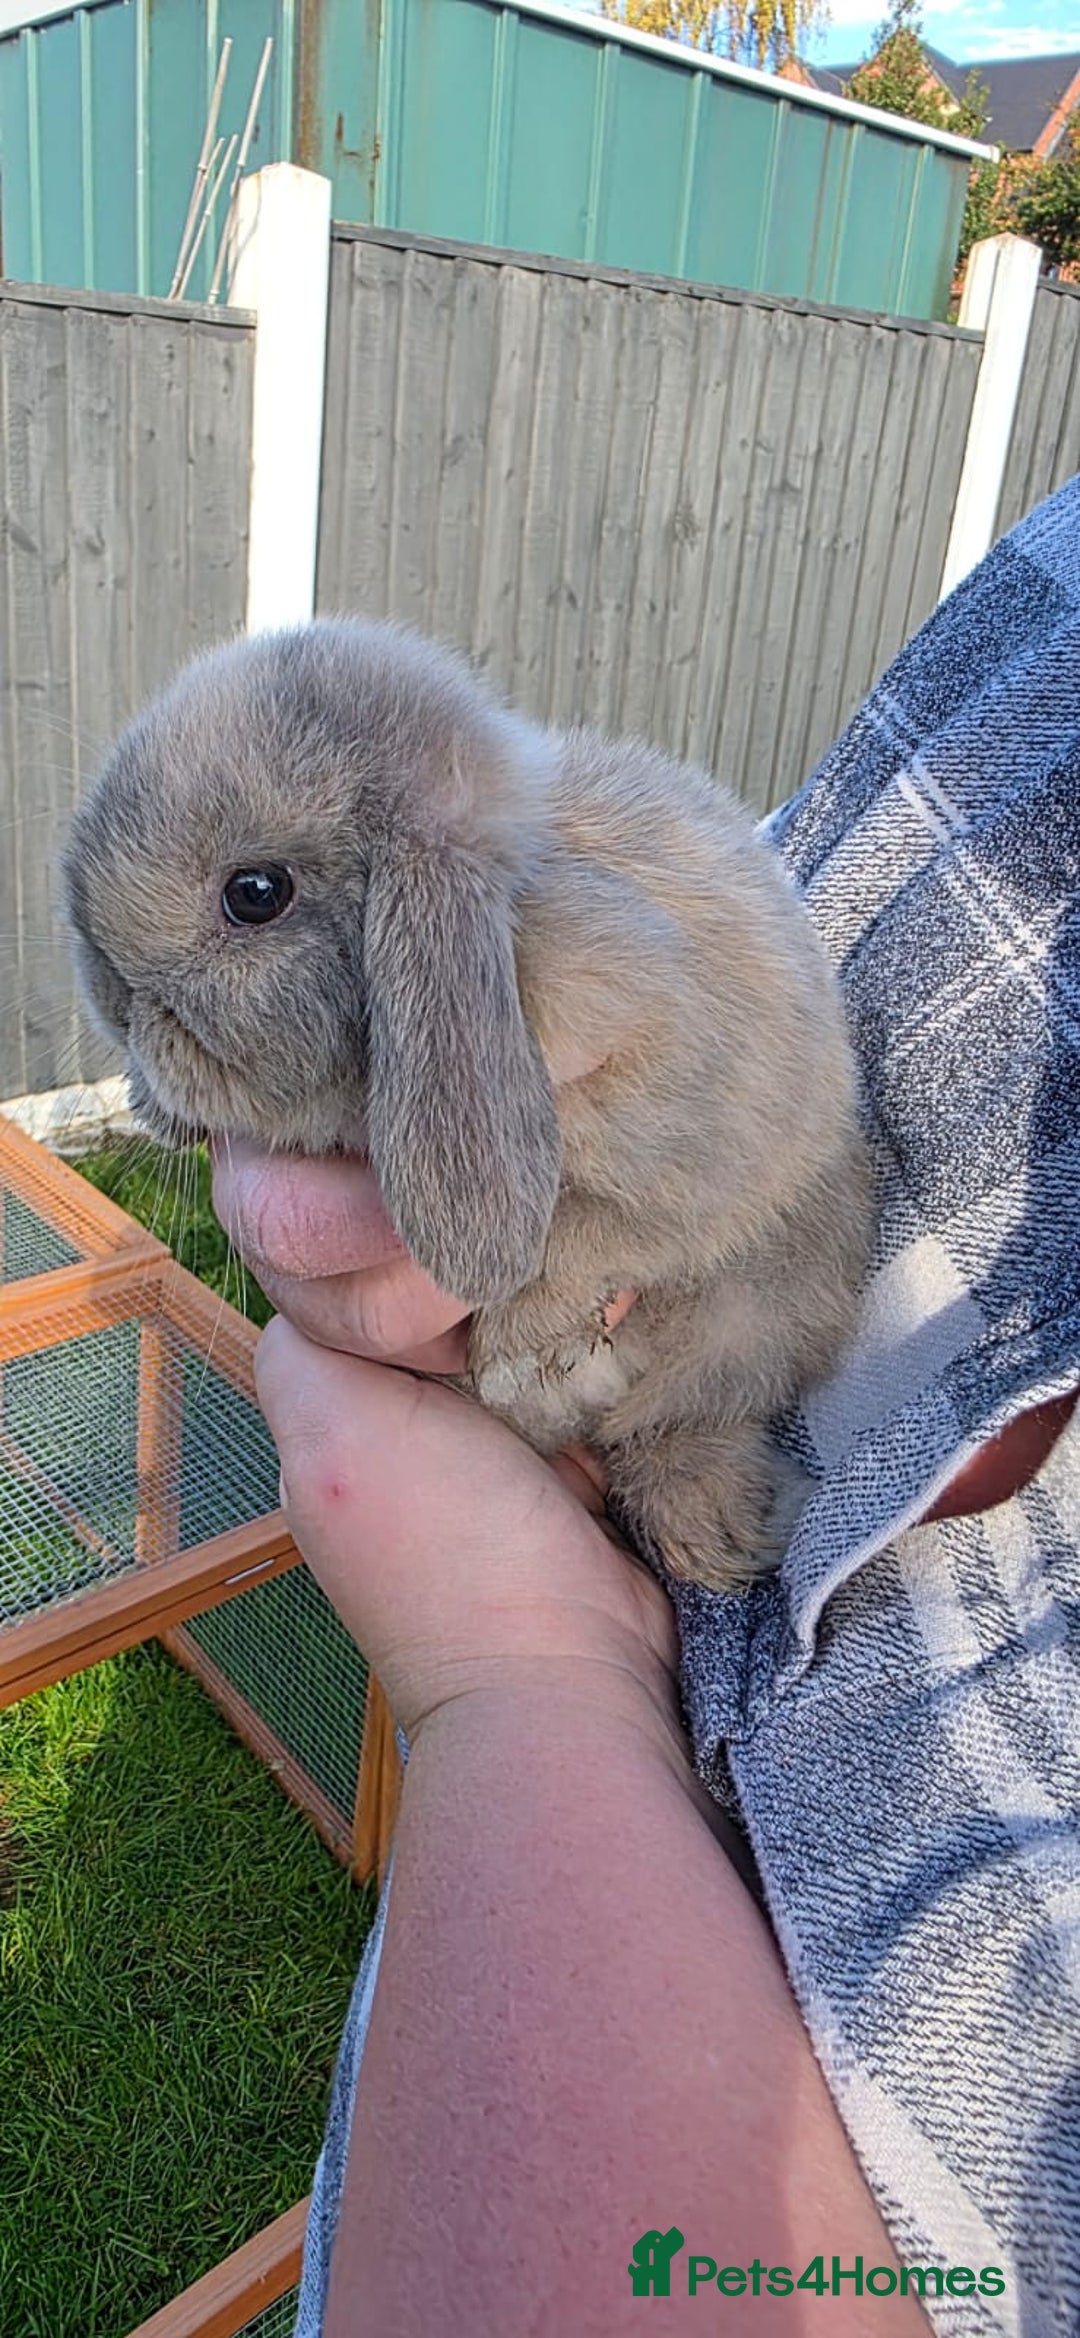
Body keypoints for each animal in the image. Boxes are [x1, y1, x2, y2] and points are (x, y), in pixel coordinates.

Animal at [63, 617, 872, 1592]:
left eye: (255, 894)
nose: (116, 1005)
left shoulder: (689, 1113)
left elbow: (605, 1226)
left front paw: (523, 1353)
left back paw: (715, 1530)